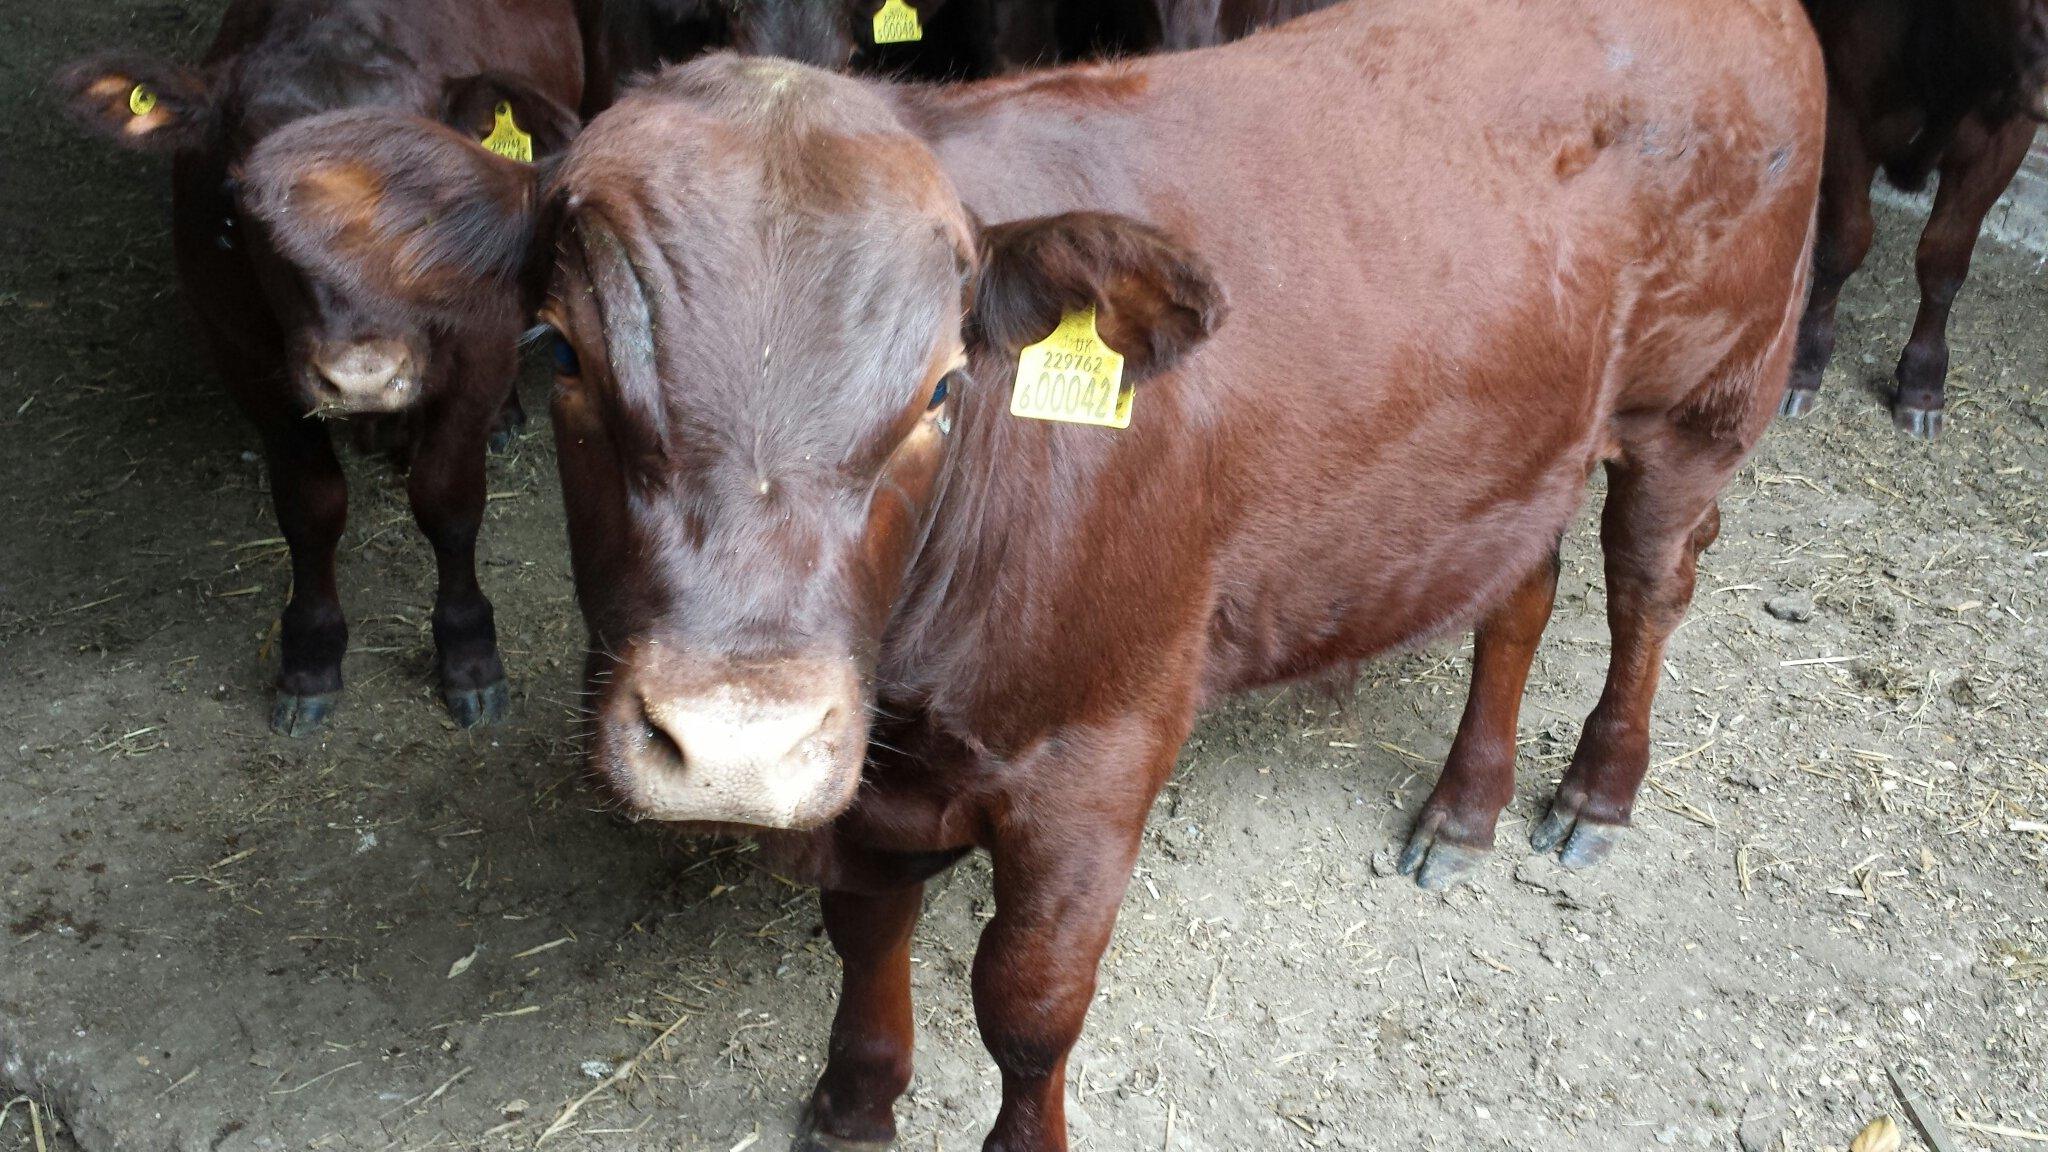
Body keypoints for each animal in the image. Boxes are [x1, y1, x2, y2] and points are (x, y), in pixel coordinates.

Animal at [56, 0, 598, 729]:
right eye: (244, 198)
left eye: (431, 191)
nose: (363, 375)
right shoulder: (244, 355)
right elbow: (310, 506)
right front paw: (310, 654)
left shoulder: (481, 339)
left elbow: (449, 499)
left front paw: (469, 651)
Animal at [239, 4, 1826, 1139]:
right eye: (560, 353)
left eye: (945, 387)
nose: (736, 743)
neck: (924, 681)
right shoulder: (872, 769)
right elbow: (864, 925)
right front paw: (853, 1101)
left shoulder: (1103, 742)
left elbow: (1029, 1001)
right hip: (1515, 443)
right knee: (1519, 591)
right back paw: (1464, 806)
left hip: (1703, 398)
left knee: (1646, 585)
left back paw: (1591, 793)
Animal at [1785, 0, 2039, 436]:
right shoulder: (1845, 109)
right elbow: (1843, 245)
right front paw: (1804, 360)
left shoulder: (2006, 140)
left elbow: (1943, 261)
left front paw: (1922, 385)